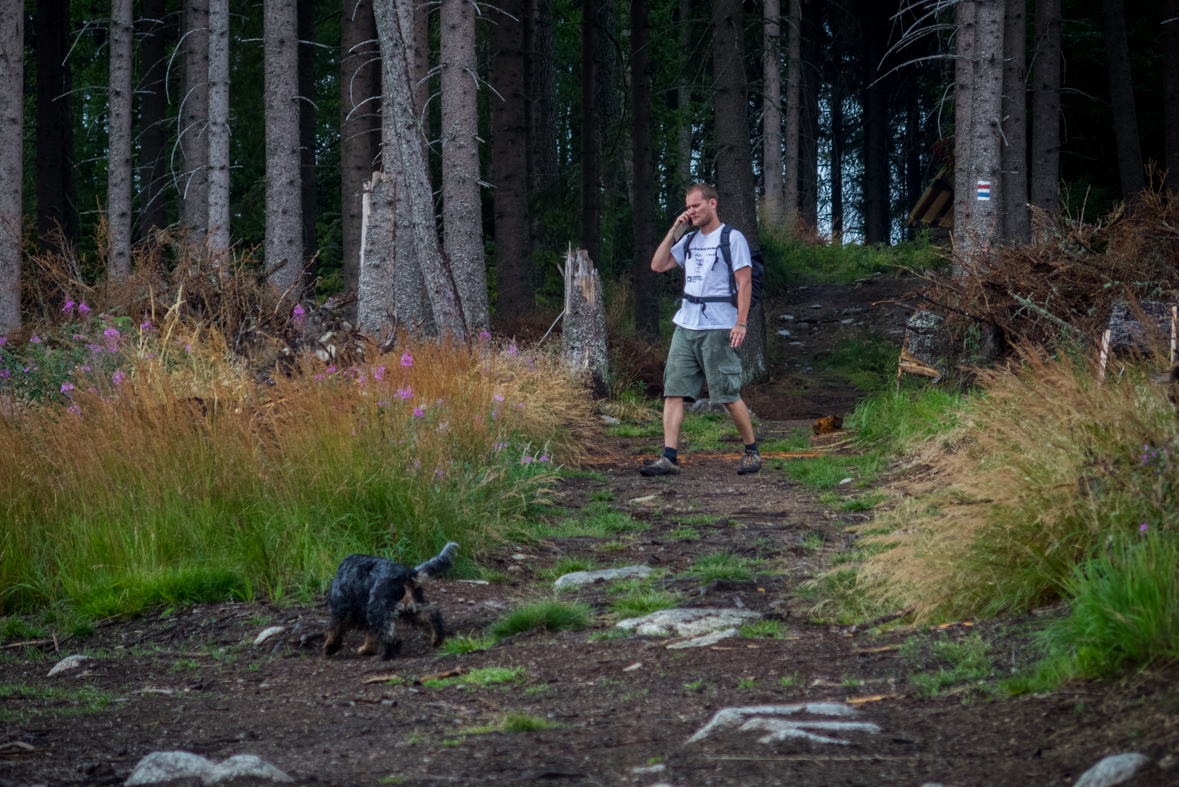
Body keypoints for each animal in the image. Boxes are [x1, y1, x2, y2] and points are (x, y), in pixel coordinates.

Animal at [325, 541, 457, 659]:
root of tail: (407, 574)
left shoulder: (341, 609)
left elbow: (335, 629)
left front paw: (330, 647)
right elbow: (371, 634)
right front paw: (367, 649)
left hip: (378, 611)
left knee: (391, 639)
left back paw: (384, 656)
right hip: (410, 608)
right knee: (432, 614)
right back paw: (437, 638)